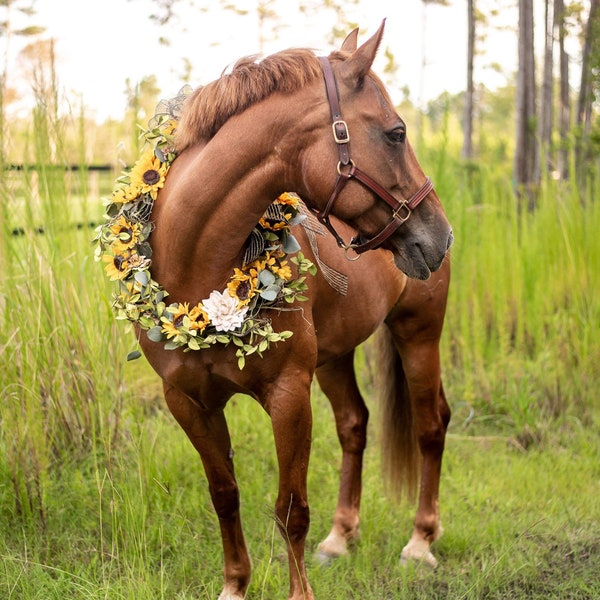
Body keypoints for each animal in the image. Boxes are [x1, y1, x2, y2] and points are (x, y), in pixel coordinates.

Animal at [138, 23, 452, 600]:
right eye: (396, 133)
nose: (439, 235)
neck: (197, 268)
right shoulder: (188, 402)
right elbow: (224, 494)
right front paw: (234, 585)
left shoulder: (287, 395)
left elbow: (290, 511)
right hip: (335, 355)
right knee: (354, 424)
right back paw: (341, 537)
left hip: (418, 333)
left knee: (430, 425)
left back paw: (420, 543)